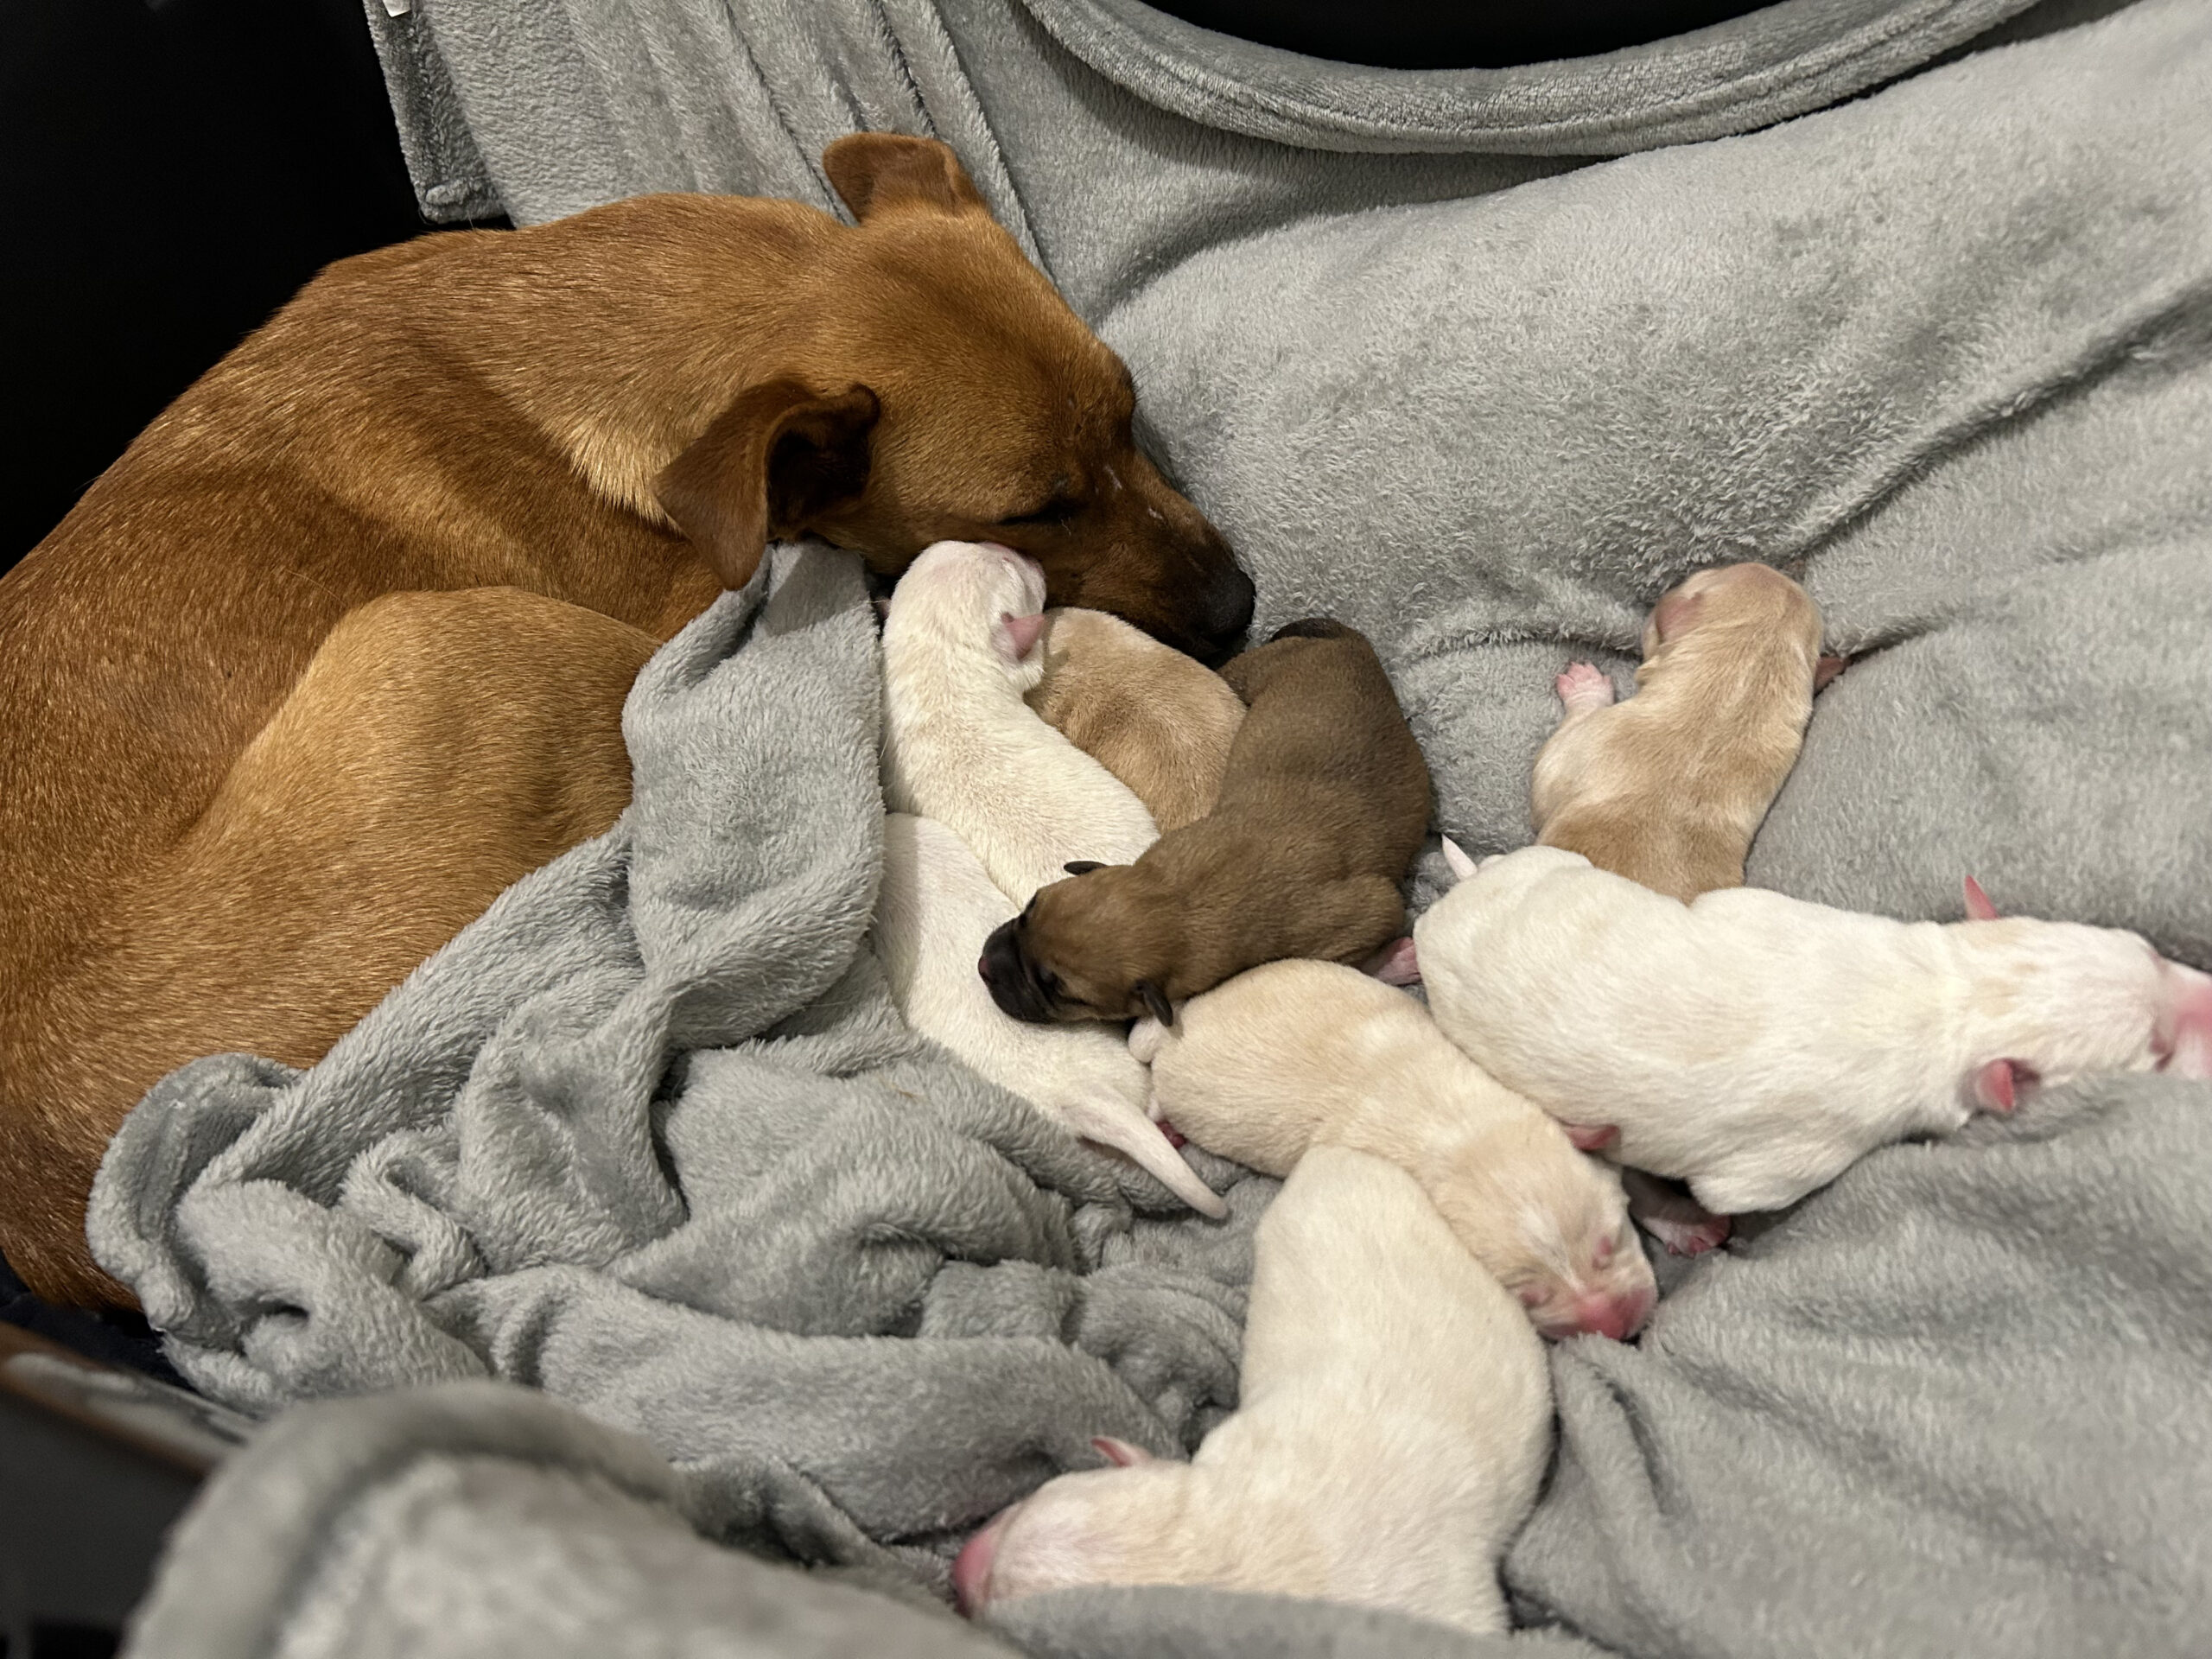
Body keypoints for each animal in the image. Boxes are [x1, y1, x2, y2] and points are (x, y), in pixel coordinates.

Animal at [1135, 959, 1654, 1339]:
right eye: (1528, 1298)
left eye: (1611, 1242)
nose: (1618, 1328)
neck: (1461, 1130)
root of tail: (1176, 1030)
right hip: (1175, 1092)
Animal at [1416, 843, 2212, 1215]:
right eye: (2156, 1050)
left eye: (2149, 950)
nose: (2207, 997)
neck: (1955, 997)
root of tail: (1448, 915)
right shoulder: (1794, 1160)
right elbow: (1736, 1192)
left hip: (1538, 871)